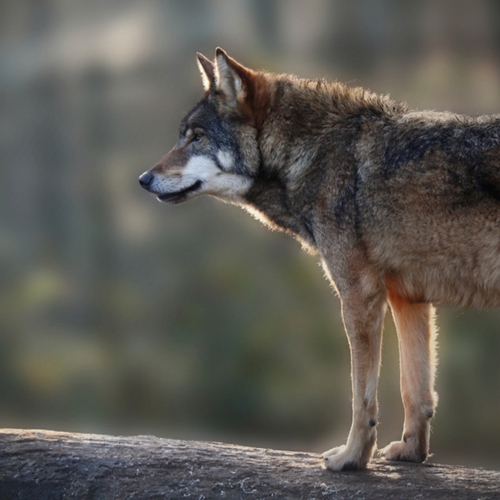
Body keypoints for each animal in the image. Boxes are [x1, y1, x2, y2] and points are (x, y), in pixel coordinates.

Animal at [138, 48, 500, 470]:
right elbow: (416, 390)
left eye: (197, 138)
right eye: (183, 137)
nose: (143, 179)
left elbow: (362, 396)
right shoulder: (406, 298)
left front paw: (352, 458)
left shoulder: (360, 296)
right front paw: (411, 453)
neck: (314, 155)